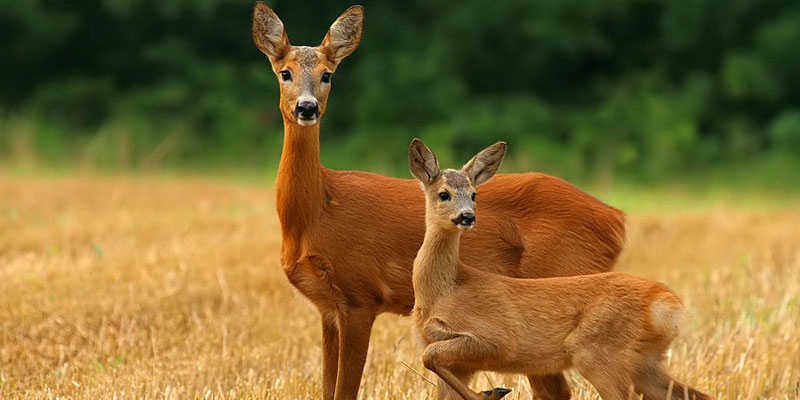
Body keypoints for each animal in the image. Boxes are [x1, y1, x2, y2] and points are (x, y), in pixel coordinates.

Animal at [253, 3, 628, 400]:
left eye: (327, 75)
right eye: (285, 73)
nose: (307, 108)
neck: (318, 211)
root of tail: (616, 219)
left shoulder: (360, 296)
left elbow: (345, 390)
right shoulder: (327, 308)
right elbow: (328, 389)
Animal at [410, 138, 708, 400]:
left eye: (474, 194)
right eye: (444, 194)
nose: (467, 216)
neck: (445, 289)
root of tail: (667, 304)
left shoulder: (498, 339)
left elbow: (429, 356)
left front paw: (492, 393)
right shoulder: (447, 352)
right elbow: (432, 362)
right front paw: (491, 392)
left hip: (598, 352)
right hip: (645, 361)